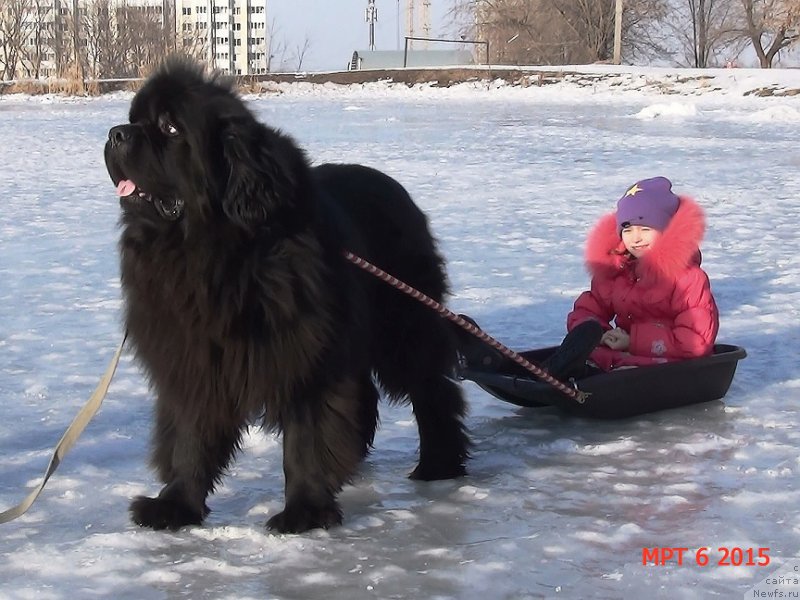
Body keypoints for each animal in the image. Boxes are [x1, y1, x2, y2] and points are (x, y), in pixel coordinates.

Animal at [103, 58, 472, 532]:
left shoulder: (304, 354)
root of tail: (400, 192)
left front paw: (304, 510)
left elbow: (305, 437)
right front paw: (175, 505)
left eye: (169, 128)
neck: (212, 255)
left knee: (432, 390)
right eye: (133, 120)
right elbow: (189, 437)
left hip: (404, 327)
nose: (115, 133)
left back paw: (438, 464)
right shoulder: (194, 357)